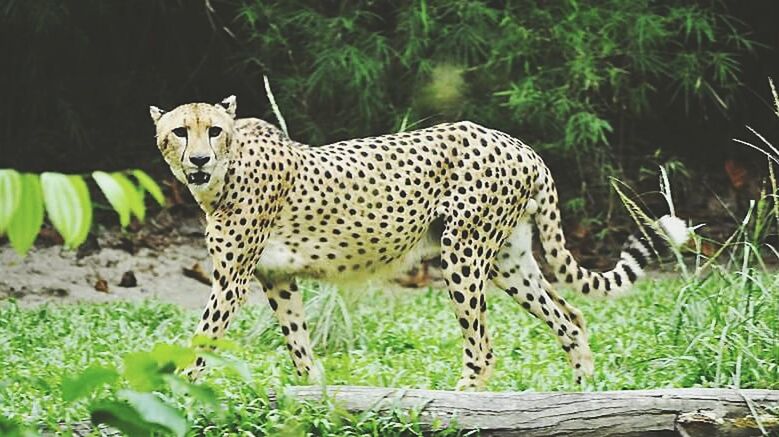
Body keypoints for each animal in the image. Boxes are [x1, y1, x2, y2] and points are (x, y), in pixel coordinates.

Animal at [149, 95, 684, 388]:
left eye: (214, 131)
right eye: (180, 132)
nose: (198, 159)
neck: (226, 170)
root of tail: (518, 144)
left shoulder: (232, 280)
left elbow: (202, 337)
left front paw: (176, 391)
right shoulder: (276, 278)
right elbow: (297, 341)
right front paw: (313, 391)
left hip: (463, 253)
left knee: (483, 345)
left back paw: (462, 398)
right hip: (508, 260)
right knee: (569, 317)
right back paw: (581, 396)